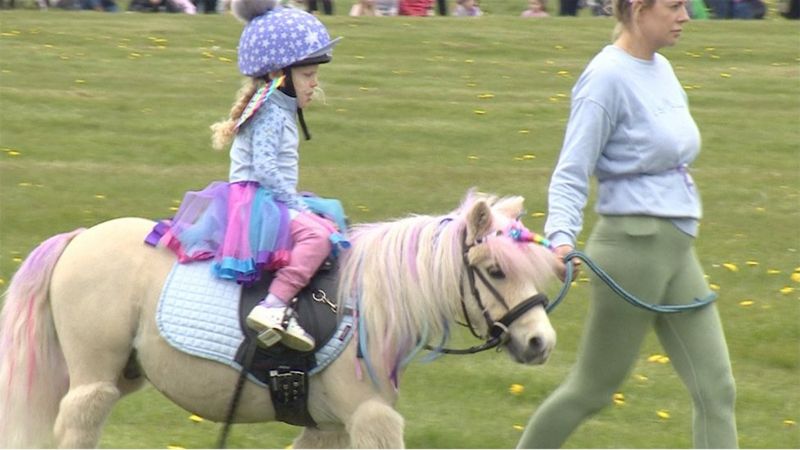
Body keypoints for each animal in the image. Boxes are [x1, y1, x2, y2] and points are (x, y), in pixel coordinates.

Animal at [0, 192, 560, 448]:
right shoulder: (369, 418)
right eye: (496, 270)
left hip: (121, 373)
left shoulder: (328, 425)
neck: (371, 306)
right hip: (93, 376)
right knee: (79, 420)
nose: (541, 342)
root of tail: (79, 237)